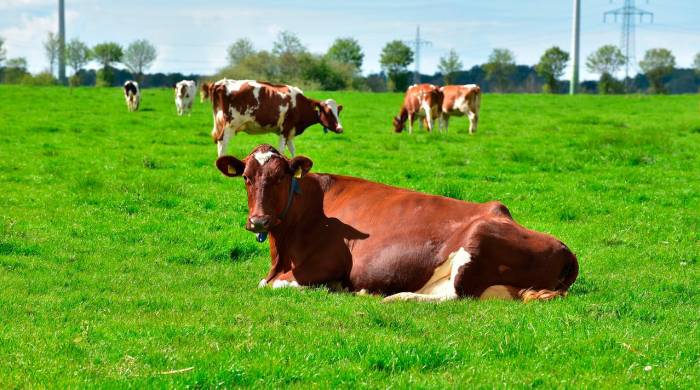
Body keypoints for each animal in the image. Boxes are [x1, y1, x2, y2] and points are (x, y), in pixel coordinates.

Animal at [201, 79, 344, 157]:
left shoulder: (290, 131)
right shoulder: (285, 129)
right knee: (222, 142)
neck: (299, 104)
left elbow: (292, 150)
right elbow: (281, 150)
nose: (340, 129)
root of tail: (220, 83)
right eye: (328, 112)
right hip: (229, 125)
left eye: (338, 112)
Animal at [215, 145, 580, 304]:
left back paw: (395, 297)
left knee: (456, 296)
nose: (258, 220)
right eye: (247, 177)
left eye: (280, 177)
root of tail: (565, 249)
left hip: (476, 242)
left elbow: (273, 285)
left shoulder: (325, 265)